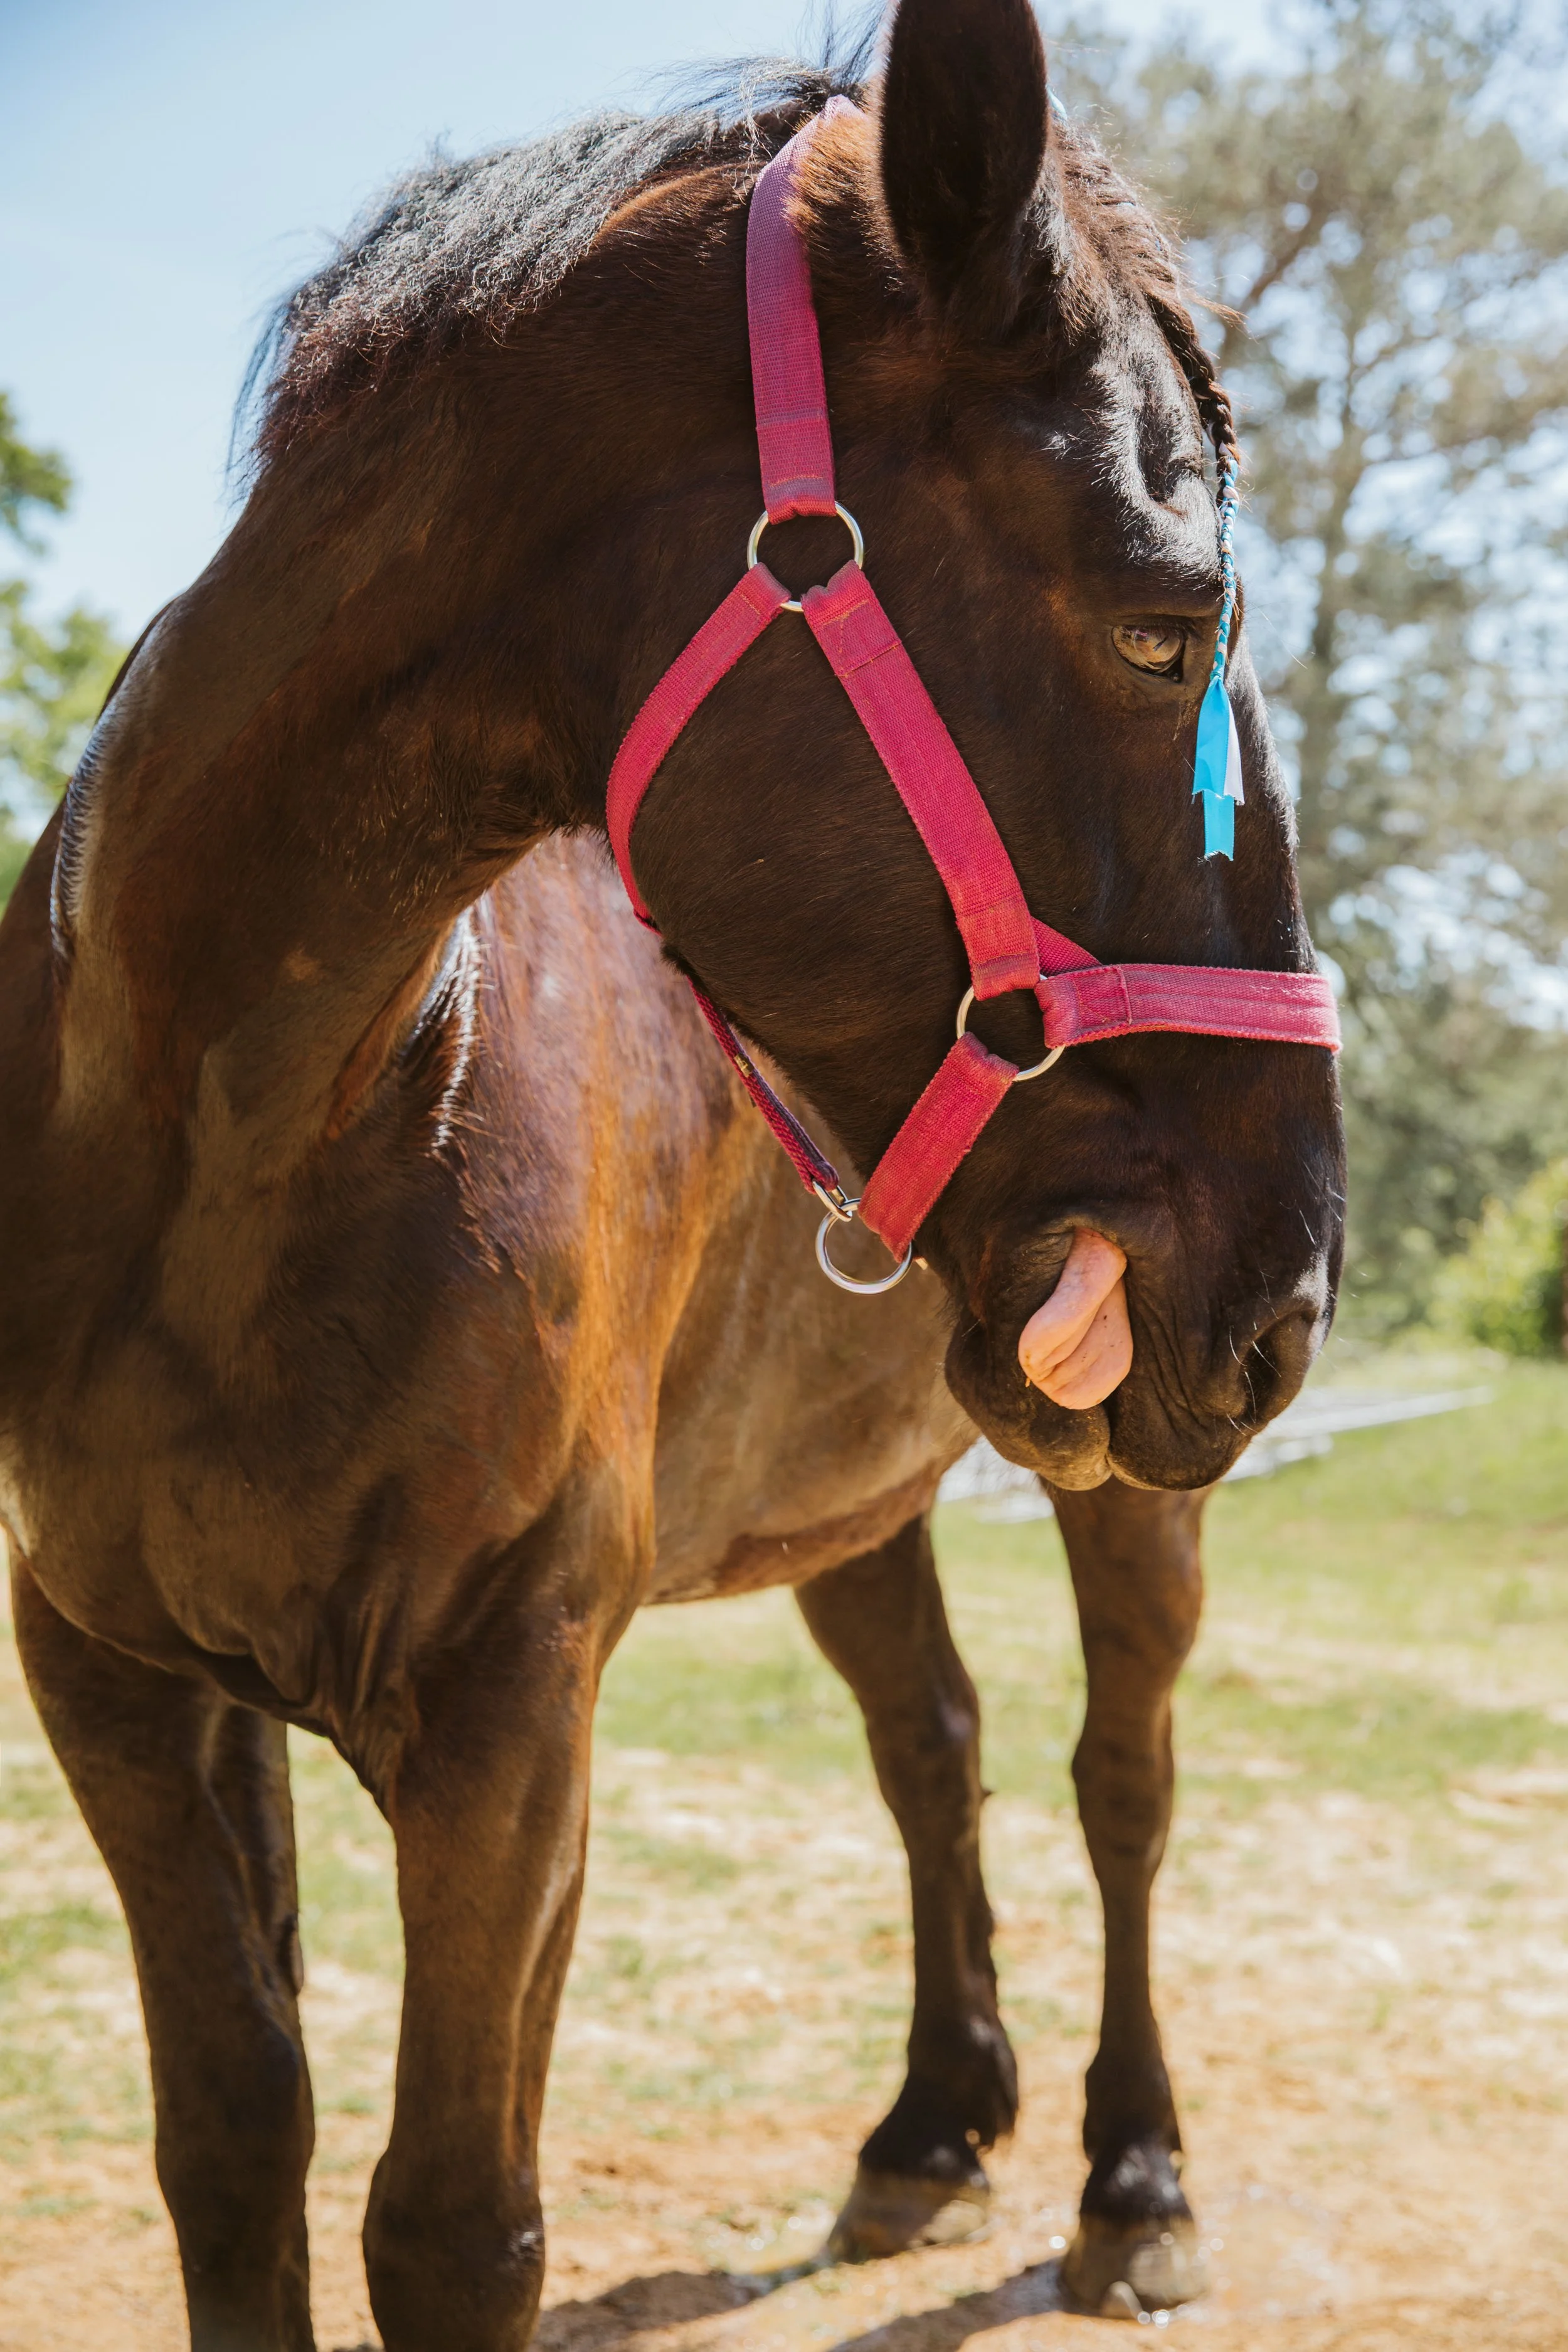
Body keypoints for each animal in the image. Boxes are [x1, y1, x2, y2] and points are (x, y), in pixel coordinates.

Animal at [0, 3, 1344, 2345]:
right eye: (1168, 626)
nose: (1286, 1292)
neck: (247, 1131)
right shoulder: (112, 1677)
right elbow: (236, 2146)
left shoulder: (510, 1705)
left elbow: (455, 2225)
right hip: (853, 1489)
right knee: (932, 1741)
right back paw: (930, 2127)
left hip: (1119, 1501)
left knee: (1119, 1781)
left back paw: (1130, 2177)